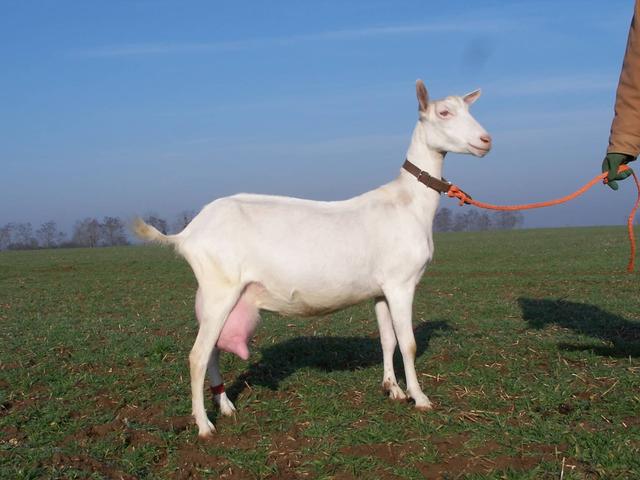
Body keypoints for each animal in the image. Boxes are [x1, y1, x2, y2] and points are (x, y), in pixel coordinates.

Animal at [134, 79, 492, 437]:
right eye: (443, 112)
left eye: (468, 109)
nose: (486, 140)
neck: (408, 202)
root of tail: (187, 233)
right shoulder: (401, 283)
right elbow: (408, 343)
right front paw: (420, 398)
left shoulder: (380, 289)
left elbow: (387, 340)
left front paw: (393, 389)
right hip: (219, 288)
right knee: (197, 355)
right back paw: (205, 425)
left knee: (212, 352)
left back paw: (225, 406)